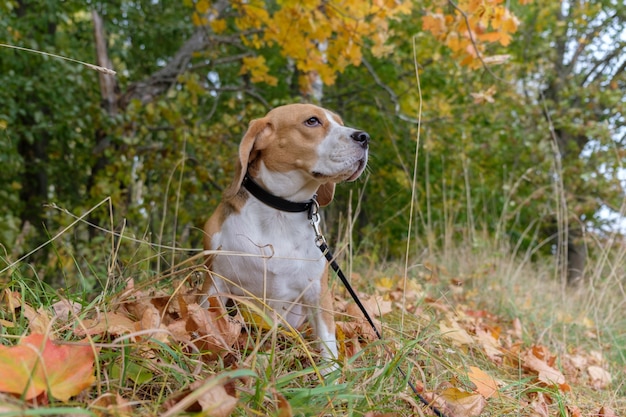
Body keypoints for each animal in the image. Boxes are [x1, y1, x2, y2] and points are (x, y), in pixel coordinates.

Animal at [200, 103, 366, 368]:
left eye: (340, 123)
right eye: (312, 121)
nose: (364, 137)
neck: (280, 211)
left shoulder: (317, 293)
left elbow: (328, 342)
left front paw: (331, 376)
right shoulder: (214, 281)